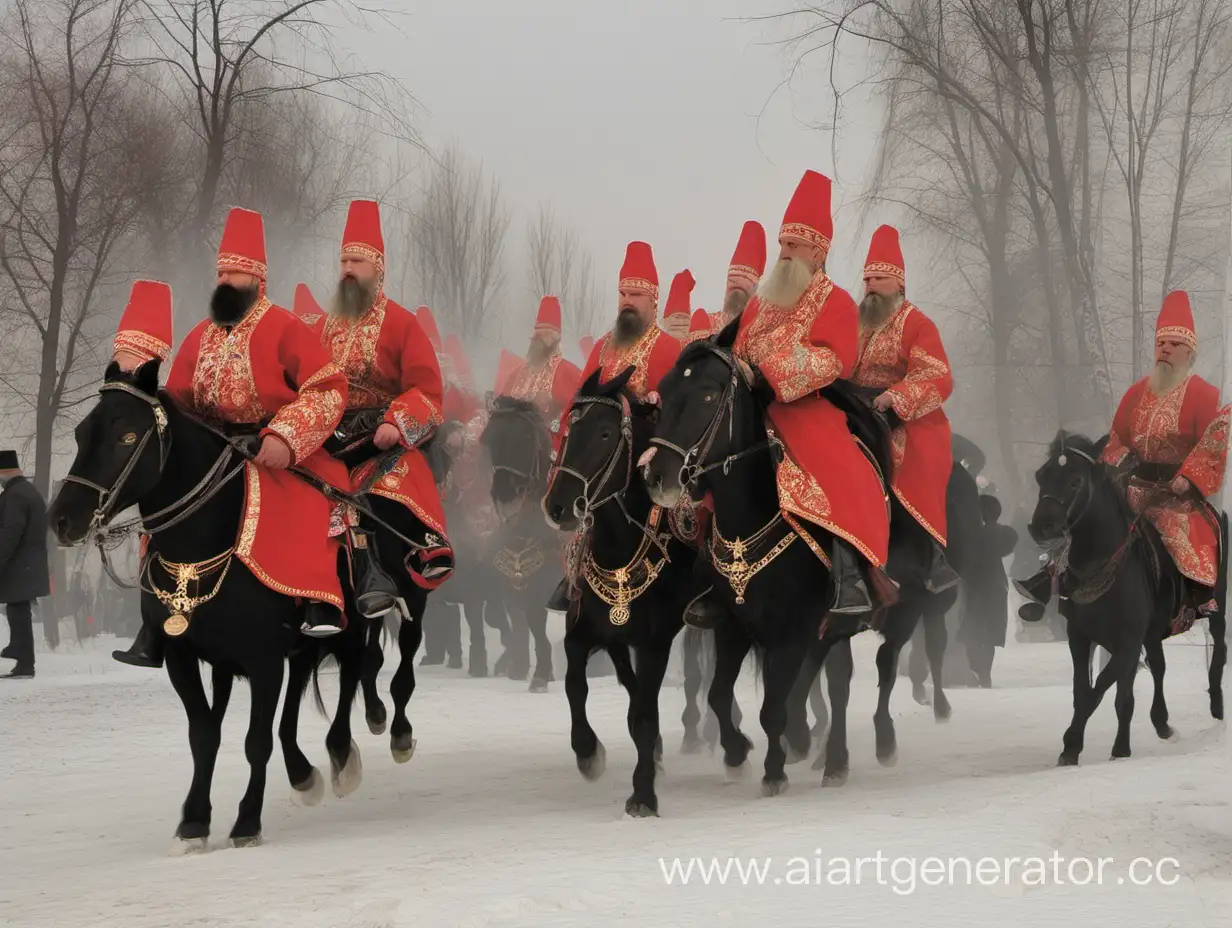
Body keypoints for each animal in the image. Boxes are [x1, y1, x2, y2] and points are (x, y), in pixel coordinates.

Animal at [48, 359, 364, 847]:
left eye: (127, 437)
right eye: (82, 433)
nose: (62, 520)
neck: (200, 546)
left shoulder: (263, 659)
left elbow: (256, 740)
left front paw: (247, 821)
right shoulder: (183, 655)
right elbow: (204, 734)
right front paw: (194, 820)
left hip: (353, 622)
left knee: (353, 670)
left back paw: (344, 755)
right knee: (297, 691)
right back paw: (302, 772)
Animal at [478, 391, 561, 690]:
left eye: (526, 437)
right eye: (490, 440)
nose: (506, 499)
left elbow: (536, 621)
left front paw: (541, 674)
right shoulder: (510, 580)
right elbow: (508, 619)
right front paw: (517, 662)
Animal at [544, 364, 699, 813]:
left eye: (604, 434)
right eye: (567, 431)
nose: (558, 506)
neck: (621, 548)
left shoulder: (655, 642)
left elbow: (645, 714)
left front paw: (643, 793)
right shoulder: (587, 628)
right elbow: (575, 683)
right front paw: (588, 753)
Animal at [1025, 431, 1227, 764]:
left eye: (1075, 481)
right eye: (1041, 475)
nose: (1041, 526)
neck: (1101, 563)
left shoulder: (1128, 642)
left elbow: (1107, 692)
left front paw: (1114, 749)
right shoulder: (1080, 636)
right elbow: (1084, 690)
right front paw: (1072, 748)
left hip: (1216, 604)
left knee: (1219, 648)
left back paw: (1217, 707)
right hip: (1153, 631)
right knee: (1158, 665)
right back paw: (1162, 722)